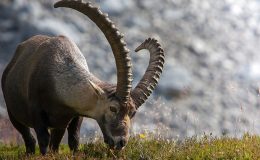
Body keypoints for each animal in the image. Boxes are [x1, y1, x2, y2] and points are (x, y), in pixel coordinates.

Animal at [1, 0, 165, 155]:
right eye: (113, 108)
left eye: (133, 113)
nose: (121, 143)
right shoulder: (37, 115)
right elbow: (43, 141)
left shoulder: (72, 117)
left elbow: (73, 140)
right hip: (13, 113)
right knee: (29, 139)